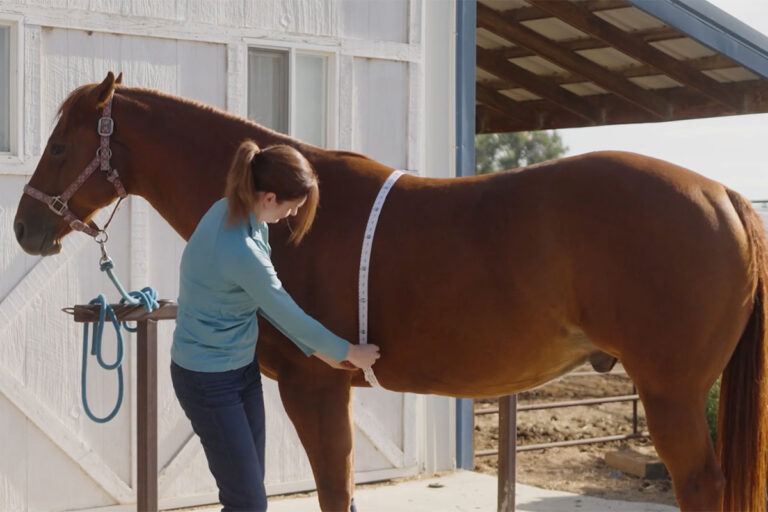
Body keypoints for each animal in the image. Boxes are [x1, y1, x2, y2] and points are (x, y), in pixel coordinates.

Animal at [12, 73, 768, 512]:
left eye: (59, 146)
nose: (25, 227)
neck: (294, 219)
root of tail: (725, 195)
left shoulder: (314, 388)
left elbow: (333, 489)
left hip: (671, 395)